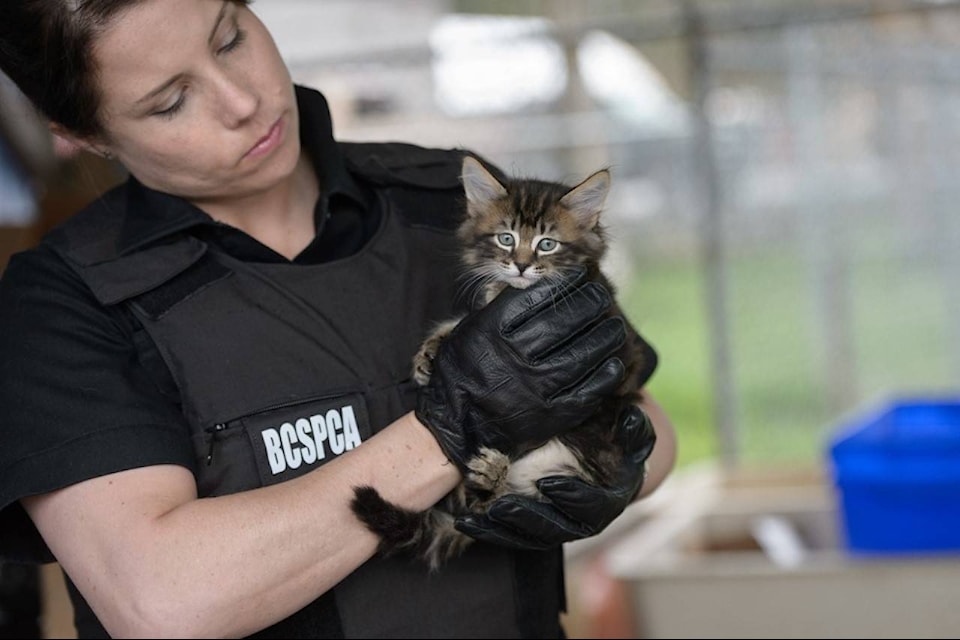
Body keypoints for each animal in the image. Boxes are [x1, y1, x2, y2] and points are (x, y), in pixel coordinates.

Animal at [350, 155, 644, 568]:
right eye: (506, 238)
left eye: (546, 245)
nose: (520, 266)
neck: (514, 292)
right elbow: (471, 320)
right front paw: (434, 350)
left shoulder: (612, 337)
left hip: (575, 472)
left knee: (505, 508)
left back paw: (493, 478)